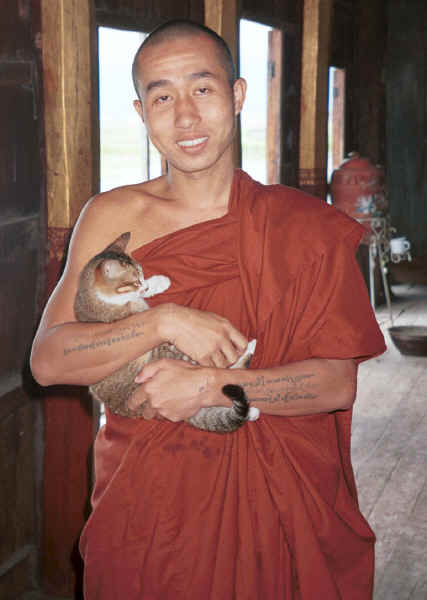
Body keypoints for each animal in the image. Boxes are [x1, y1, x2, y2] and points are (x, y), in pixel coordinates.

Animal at [75, 232, 260, 434]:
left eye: (142, 274)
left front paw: (157, 282)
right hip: (170, 349)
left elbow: (141, 296)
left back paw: (251, 412)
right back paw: (249, 349)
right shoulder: (131, 315)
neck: (93, 297)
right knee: (232, 369)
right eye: (135, 281)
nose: (144, 285)